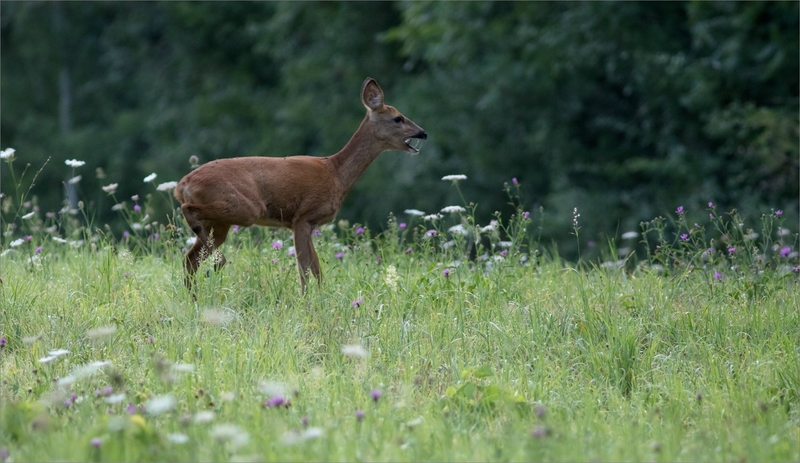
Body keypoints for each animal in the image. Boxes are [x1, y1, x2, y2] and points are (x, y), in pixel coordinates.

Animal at [173, 77, 428, 292]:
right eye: (398, 118)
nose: (423, 133)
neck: (336, 173)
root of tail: (181, 185)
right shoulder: (302, 218)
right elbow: (305, 270)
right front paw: (307, 301)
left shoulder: (310, 222)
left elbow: (317, 269)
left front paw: (323, 299)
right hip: (245, 208)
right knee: (188, 216)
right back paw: (220, 262)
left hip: (221, 223)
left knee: (190, 259)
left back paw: (195, 297)